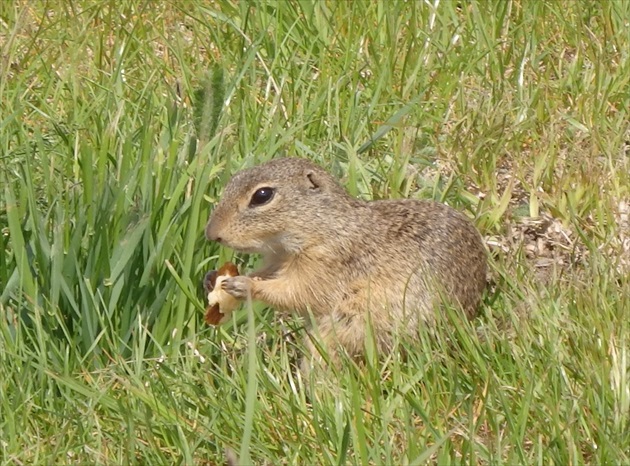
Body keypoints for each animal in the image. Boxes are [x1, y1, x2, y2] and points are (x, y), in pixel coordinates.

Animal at [207, 158, 488, 374]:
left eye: (262, 196)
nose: (212, 234)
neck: (327, 225)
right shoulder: (278, 259)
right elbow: (268, 275)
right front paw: (214, 278)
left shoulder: (325, 263)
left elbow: (296, 292)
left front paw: (244, 285)